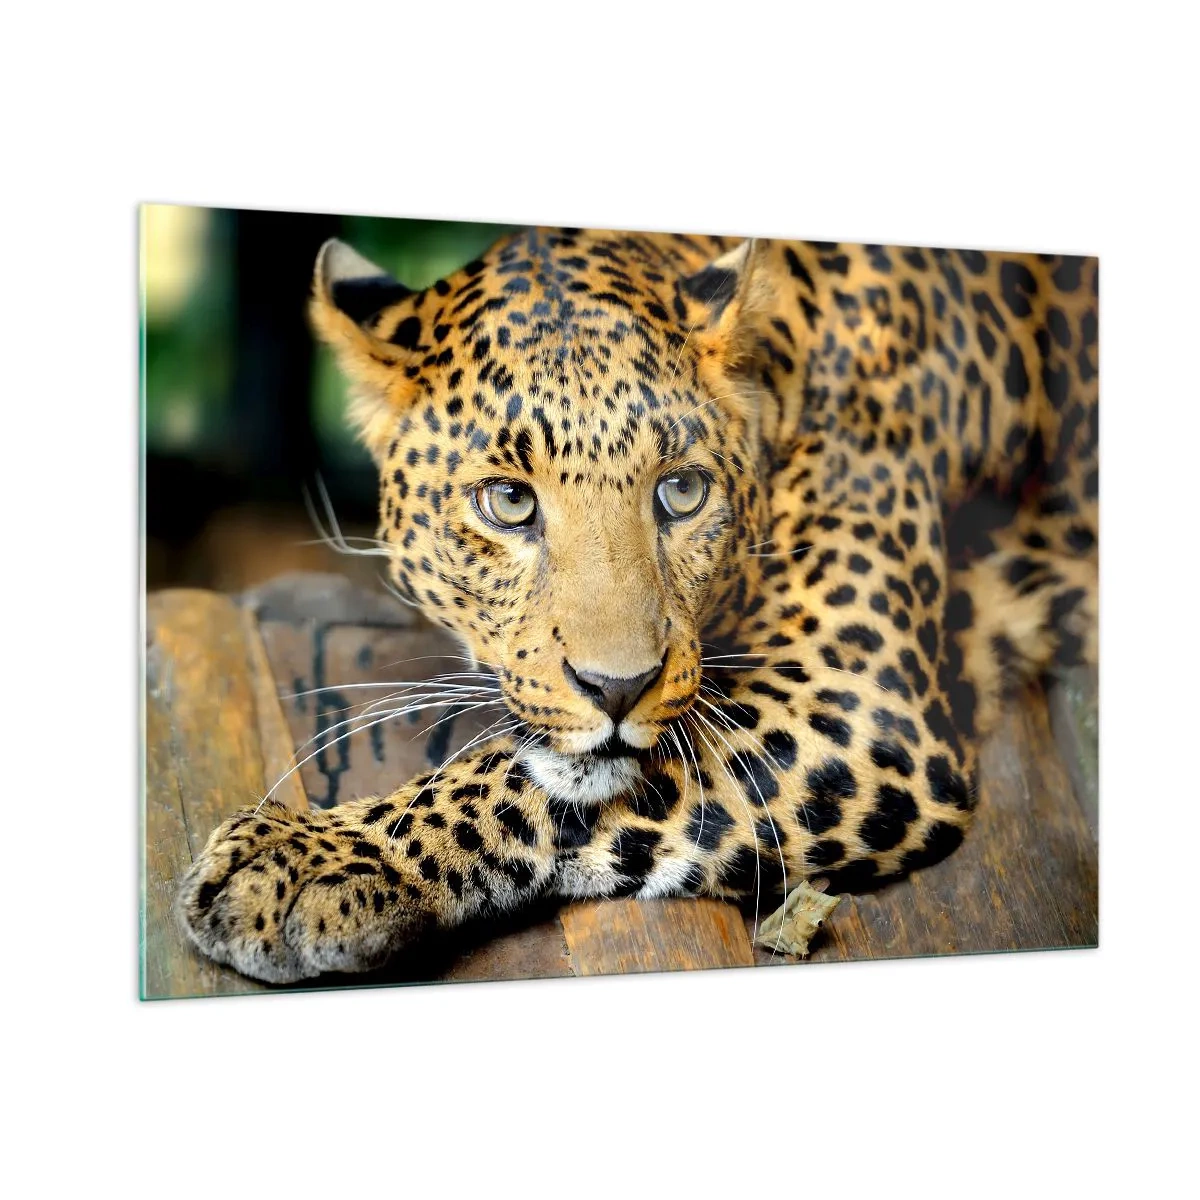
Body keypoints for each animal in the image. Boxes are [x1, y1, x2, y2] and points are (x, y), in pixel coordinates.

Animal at [176, 225, 1098, 984]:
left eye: (681, 492)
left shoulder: (858, 704)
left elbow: (524, 778)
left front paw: (317, 858)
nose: (618, 688)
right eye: (509, 502)